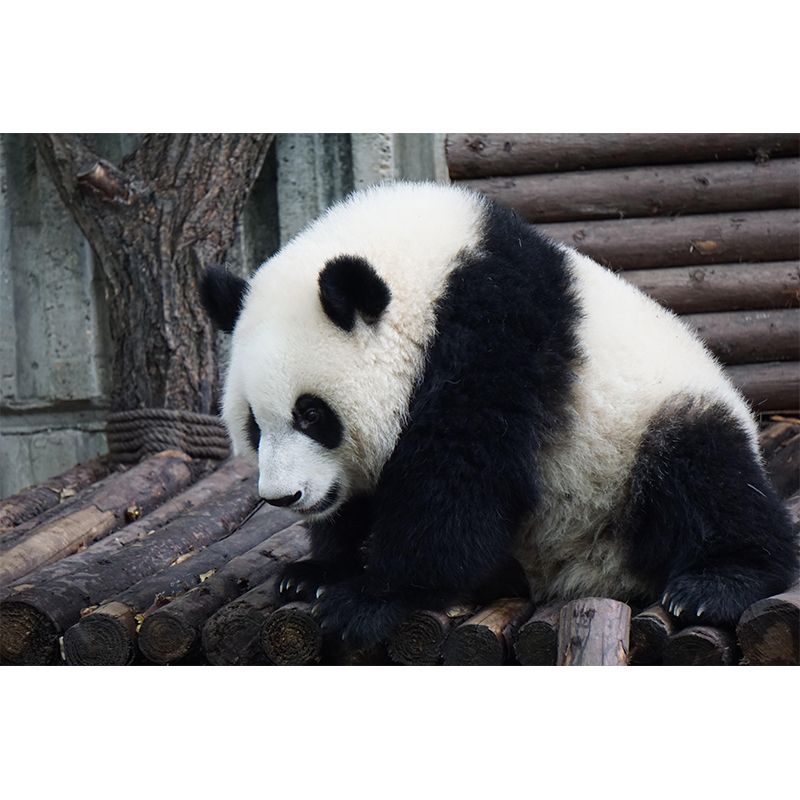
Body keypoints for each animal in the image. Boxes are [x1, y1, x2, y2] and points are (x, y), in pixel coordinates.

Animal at [201, 181, 798, 649]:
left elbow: (460, 480)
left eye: (312, 414)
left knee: (705, 474)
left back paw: (714, 585)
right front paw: (315, 573)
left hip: (645, 436)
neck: (427, 273)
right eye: (253, 423)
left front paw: (369, 600)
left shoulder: (493, 339)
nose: (285, 497)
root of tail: (589, 573)